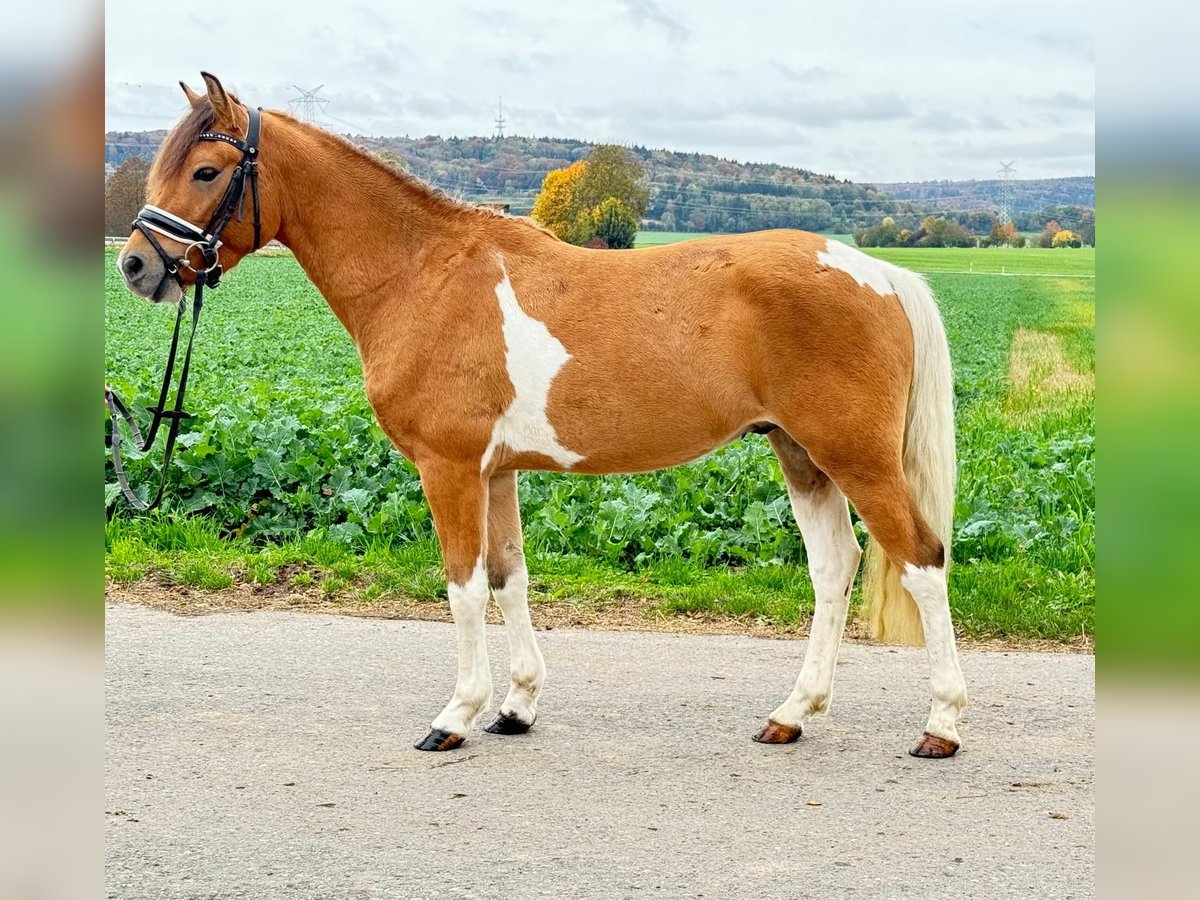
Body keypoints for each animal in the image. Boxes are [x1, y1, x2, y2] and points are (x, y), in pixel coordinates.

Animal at [117, 74, 964, 763]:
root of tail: (874, 269)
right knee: (834, 569)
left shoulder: (450, 468)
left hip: (855, 457)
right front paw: (516, 707)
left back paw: (942, 725)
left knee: (921, 561)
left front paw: (456, 715)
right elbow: (508, 578)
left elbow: (462, 587)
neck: (423, 274)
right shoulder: (496, 474)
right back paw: (791, 714)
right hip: (800, 455)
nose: (136, 264)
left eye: (206, 170)